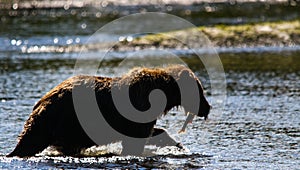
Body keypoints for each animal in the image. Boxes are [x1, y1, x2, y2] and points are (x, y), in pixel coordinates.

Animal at [6, 64, 209, 157]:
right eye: (200, 90)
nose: (207, 107)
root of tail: (41, 102)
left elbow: (153, 132)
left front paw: (178, 145)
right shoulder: (138, 110)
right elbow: (134, 142)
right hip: (65, 120)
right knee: (33, 140)